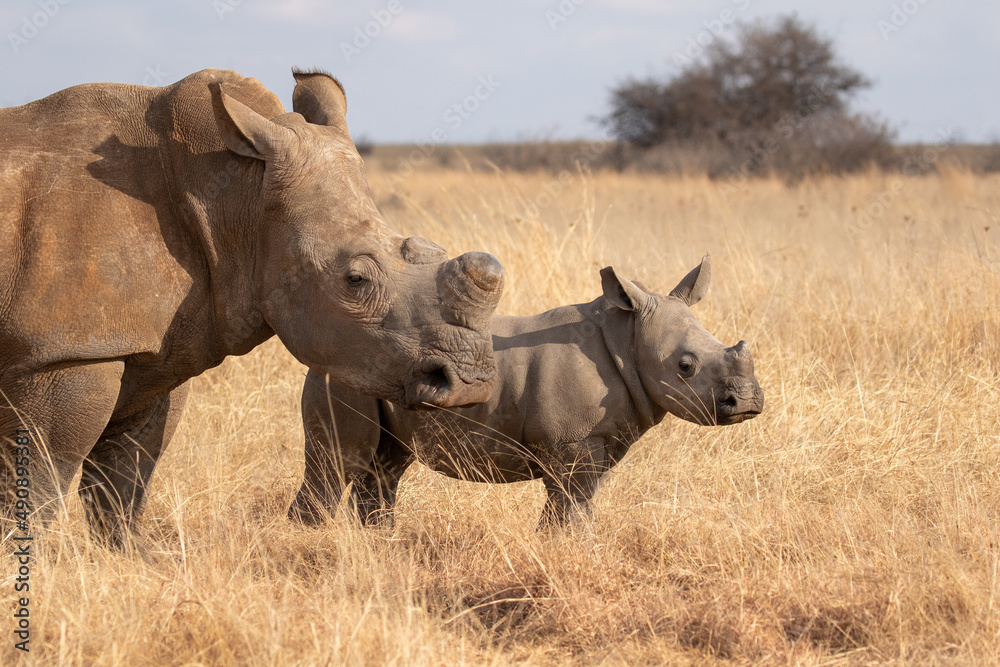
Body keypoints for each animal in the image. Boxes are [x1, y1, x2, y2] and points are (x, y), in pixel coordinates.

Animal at [0, 68, 504, 545]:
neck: (236, 194)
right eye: (356, 280)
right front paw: (24, 564)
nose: (471, 383)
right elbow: (39, 484)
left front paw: (133, 561)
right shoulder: (64, 353)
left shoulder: (155, 351)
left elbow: (124, 482)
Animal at [290, 257, 764, 526]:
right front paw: (566, 549)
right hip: (343, 375)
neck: (626, 338)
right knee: (339, 463)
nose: (747, 403)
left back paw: (379, 542)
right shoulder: (570, 443)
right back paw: (311, 538)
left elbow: (580, 504)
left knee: (386, 466)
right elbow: (568, 506)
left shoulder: (600, 441)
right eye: (685, 366)